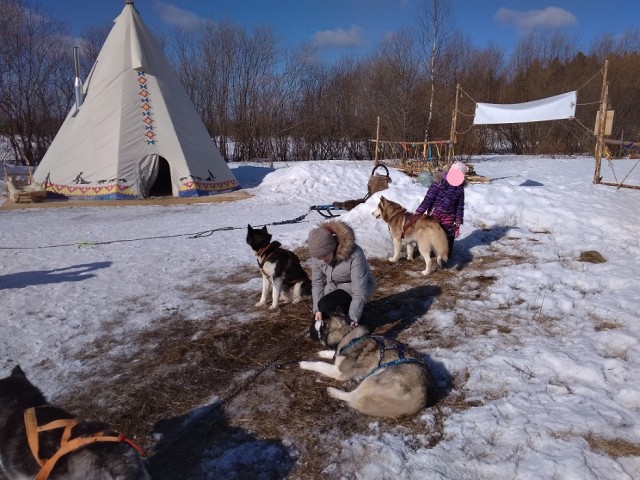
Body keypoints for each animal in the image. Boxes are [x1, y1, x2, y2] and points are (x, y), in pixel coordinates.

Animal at [300, 314, 436, 418]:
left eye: (322, 322)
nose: (315, 317)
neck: (347, 335)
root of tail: (422, 393)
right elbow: (333, 354)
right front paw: (324, 353)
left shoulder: (338, 372)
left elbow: (319, 364)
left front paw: (305, 363)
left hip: (373, 378)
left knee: (352, 397)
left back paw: (333, 391)